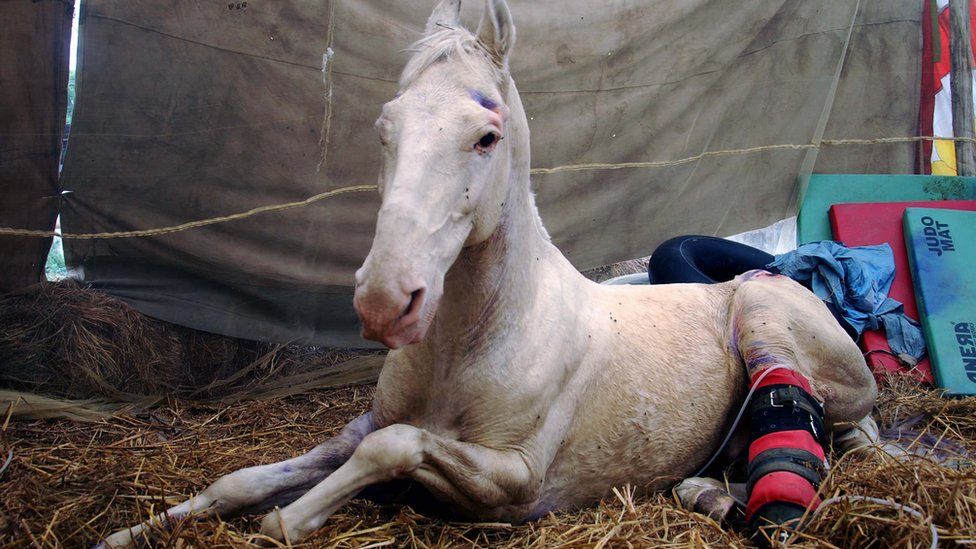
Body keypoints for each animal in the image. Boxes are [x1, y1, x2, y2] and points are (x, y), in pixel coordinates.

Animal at [101, 1, 880, 546]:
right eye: (385, 129)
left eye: (486, 136)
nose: (385, 300)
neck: (473, 345)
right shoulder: (363, 426)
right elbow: (239, 481)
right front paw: (127, 533)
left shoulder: (514, 484)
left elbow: (384, 453)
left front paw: (293, 520)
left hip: (764, 315)